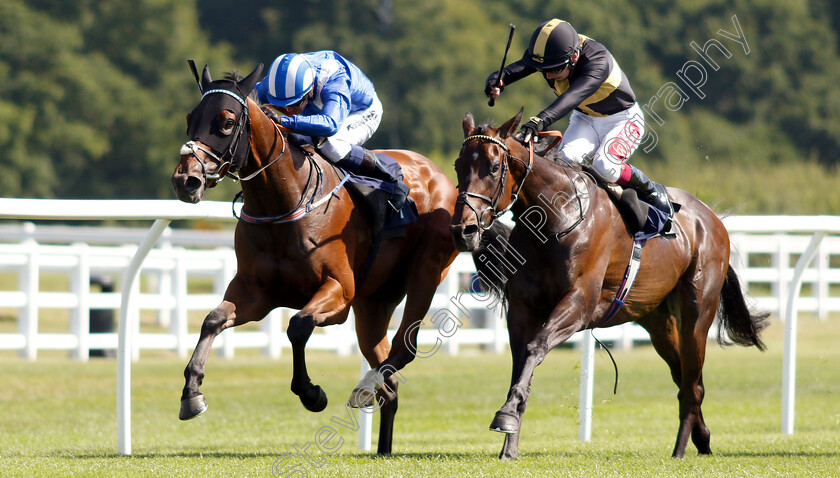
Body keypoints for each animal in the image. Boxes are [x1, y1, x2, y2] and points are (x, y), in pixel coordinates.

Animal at [172, 64, 460, 456]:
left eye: (227, 122)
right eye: (190, 118)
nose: (185, 180)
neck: (284, 201)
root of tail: (442, 176)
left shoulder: (338, 292)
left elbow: (298, 325)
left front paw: (311, 393)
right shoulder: (255, 293)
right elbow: (212, 320)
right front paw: (192, 394)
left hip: (426, 273)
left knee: (404, 347)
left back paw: (363, 390)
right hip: (373, 303)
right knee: (390, 382)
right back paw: (381, 439)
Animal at [452, 109, 768, 460]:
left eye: (494, 167)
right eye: (458, 165)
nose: (463, 230)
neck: (555, 216)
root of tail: (713, 220)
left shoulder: (579, 304)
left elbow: (536, 347)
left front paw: (505, 415)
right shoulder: (522, 309)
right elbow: (521, 364)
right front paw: (509, 443)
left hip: (697, 313)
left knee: (693, 383)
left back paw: (680, 448)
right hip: (656, 320)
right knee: (684, 377)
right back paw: (702, 437)